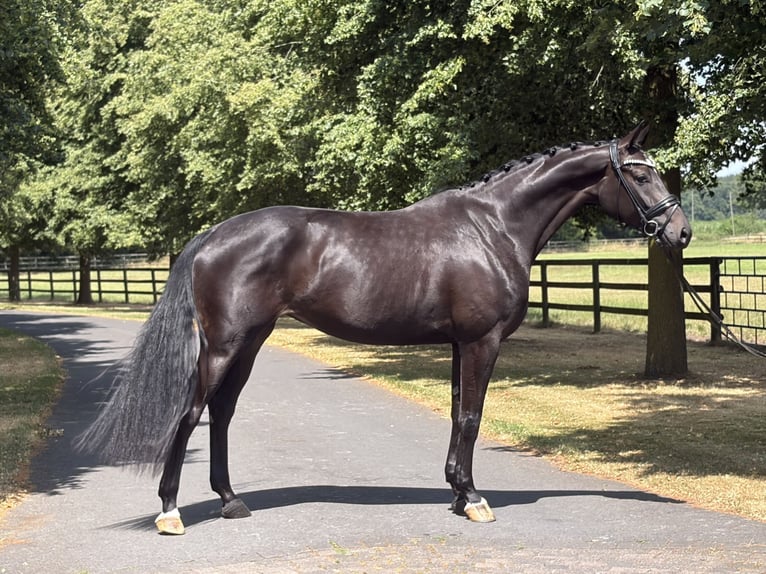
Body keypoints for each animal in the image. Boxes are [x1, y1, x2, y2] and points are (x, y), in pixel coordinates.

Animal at [76, 122, 691, 534]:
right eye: (640, 172)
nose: (680, 232)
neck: (493, 227)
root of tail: (211, 236)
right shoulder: (481, 341)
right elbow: (472, 417)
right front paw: (474, 501)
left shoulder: (458, 344)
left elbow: (457, 414)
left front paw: (457, 491)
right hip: (225, 345)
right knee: (190, 413)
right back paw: (170, 511)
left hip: (249, 343)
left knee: (222, 413)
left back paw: (230, 501)